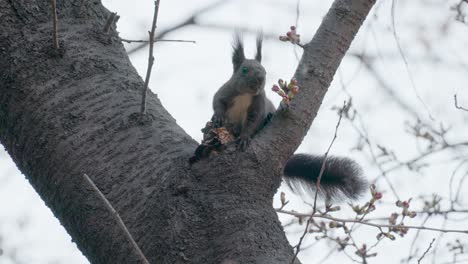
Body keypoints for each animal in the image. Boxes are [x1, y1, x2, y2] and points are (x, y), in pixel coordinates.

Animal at [207, 34, 366, 201]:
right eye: (244, 69)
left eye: (264, 71)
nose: (260, 78)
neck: (246, 95)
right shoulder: (225, 92)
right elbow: (217, 102)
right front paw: (217, 118)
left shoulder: (258, 104)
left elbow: (253, 121)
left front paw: (245, 137)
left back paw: (267, 119)